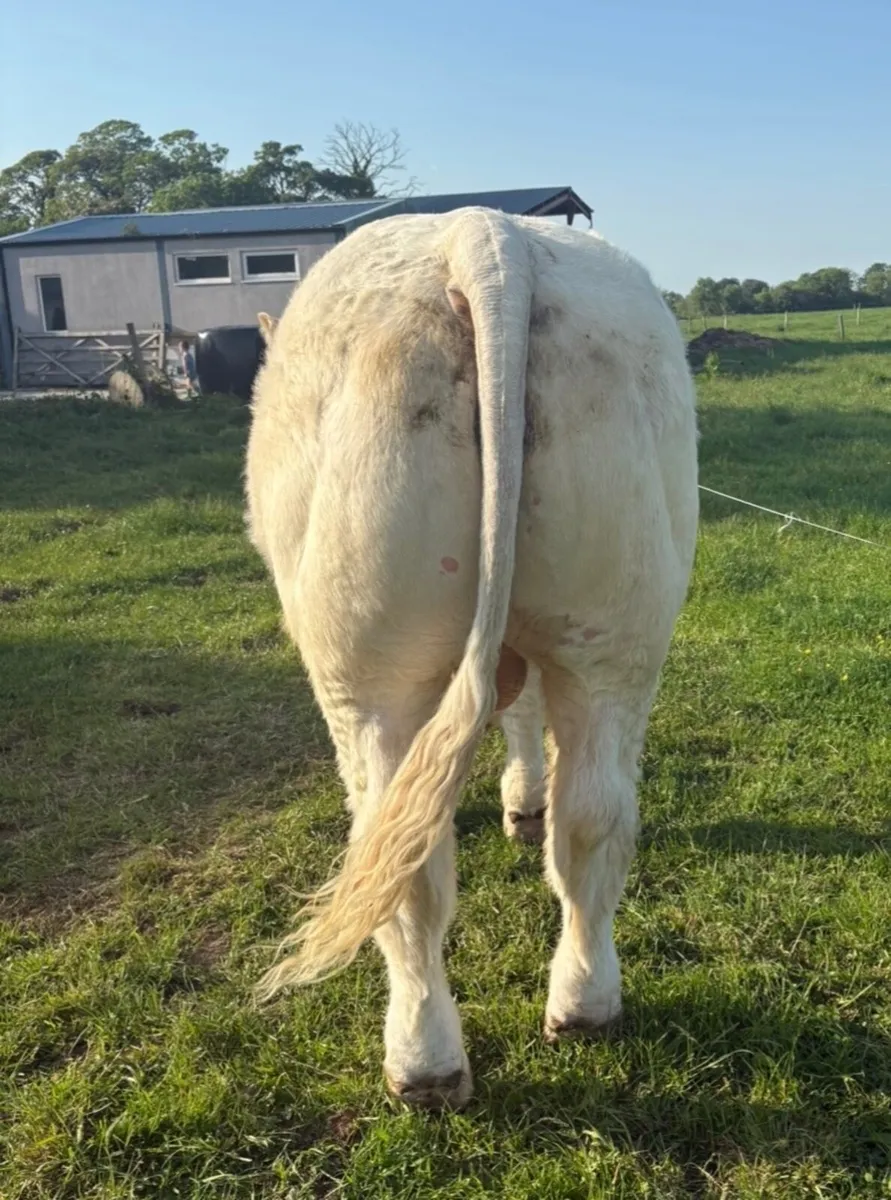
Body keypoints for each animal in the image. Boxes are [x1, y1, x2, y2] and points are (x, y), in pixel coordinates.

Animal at [244, 207, 699, 1111]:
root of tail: (484, 233)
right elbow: (522, 717)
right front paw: (523, 804)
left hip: (371, 674)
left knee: (401, 859)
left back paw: (422, 1063)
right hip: (614, 633)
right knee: (592, 815)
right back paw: (584, 1004)